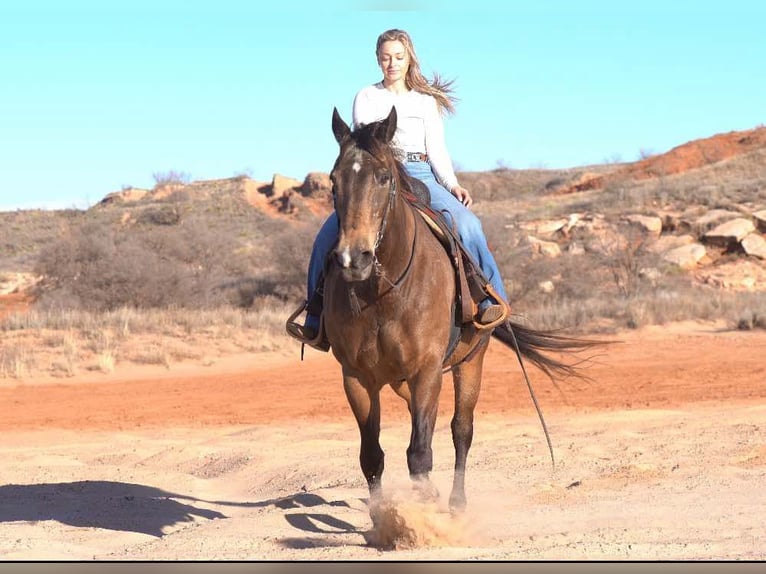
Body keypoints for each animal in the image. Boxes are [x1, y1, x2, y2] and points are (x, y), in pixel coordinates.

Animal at [320, 106, 604, 516]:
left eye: (383, 177)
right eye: (333, 180)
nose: (352, 258)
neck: (383, 295)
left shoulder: (426, 370)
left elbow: (420, 454)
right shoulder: (356, 377)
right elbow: (372, 456)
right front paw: (382, 518)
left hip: (471, 362)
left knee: (461, 430)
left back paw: (456, 502)